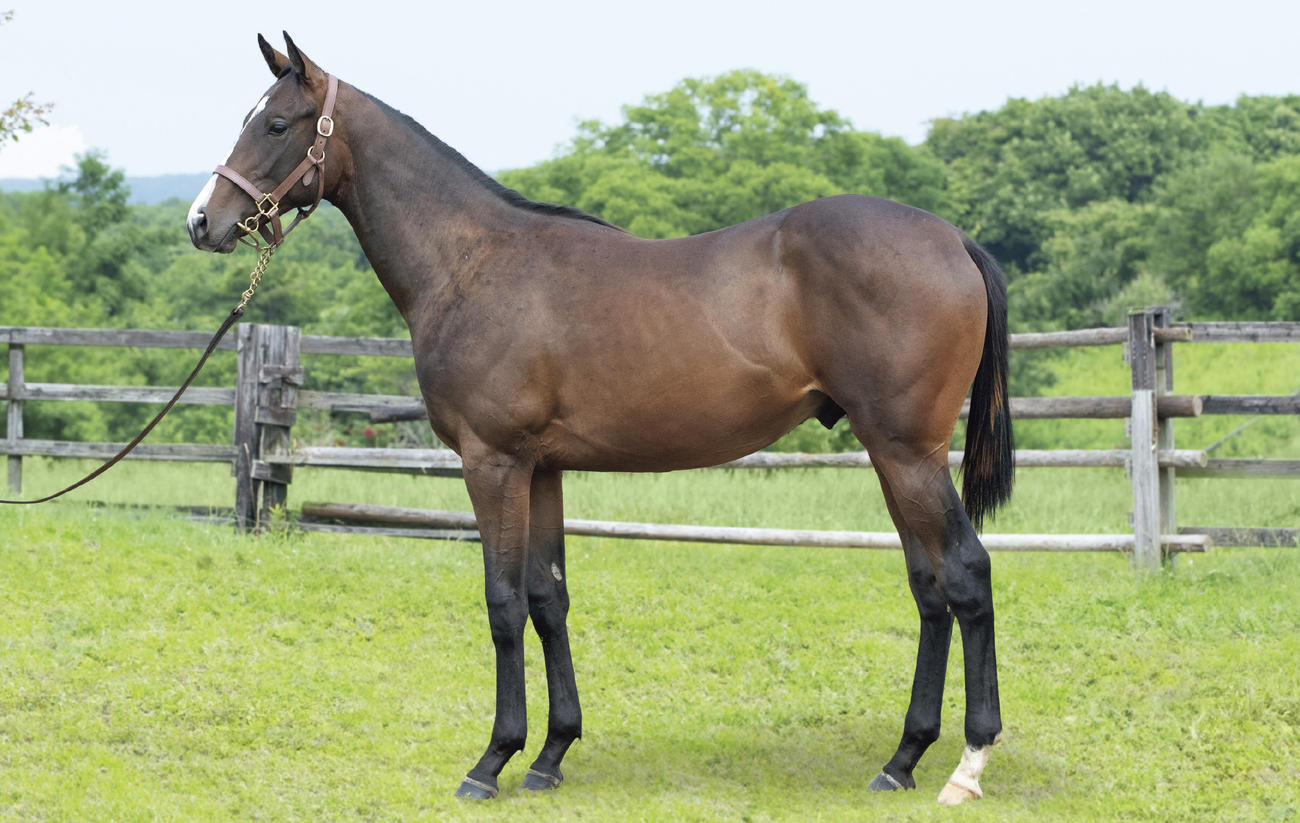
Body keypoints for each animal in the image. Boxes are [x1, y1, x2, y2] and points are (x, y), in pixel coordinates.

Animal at [187, 33, 1014, 806]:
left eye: (277, 123)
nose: (203, 221)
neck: (470, 262)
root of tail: (953, 239)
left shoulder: (492, 462)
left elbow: (503, 602)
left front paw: (491, 760)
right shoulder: (542, 467)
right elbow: (548, 599)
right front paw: (551, 753)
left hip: (907, 452)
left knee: (967, 573)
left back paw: (967, 765)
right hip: (889, 454)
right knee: (929, 586)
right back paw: (902, 758)